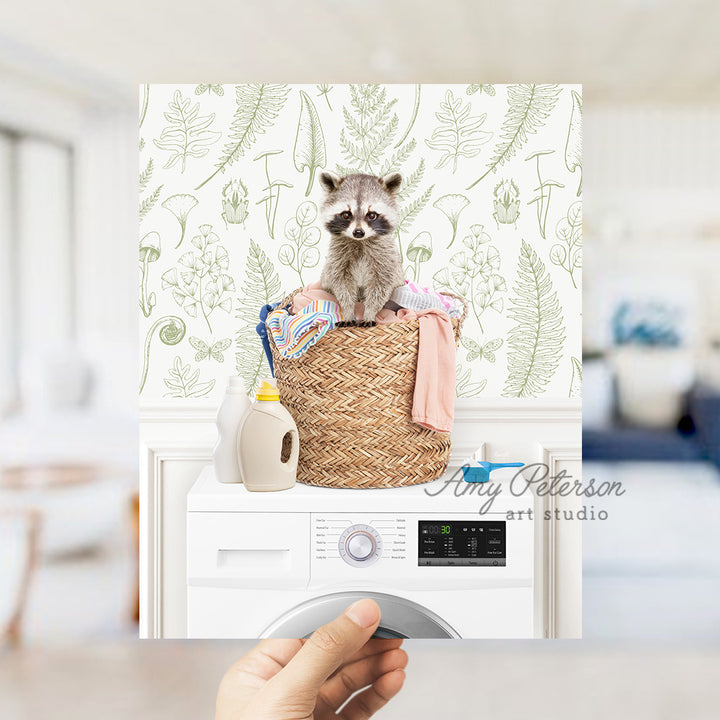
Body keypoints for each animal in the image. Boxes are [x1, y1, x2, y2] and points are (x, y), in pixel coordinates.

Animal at [320, 173, 404, 324]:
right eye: (346, 214)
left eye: (371, 215)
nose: (358, 232)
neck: (360, 242)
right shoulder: (337, 257)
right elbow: (341, 284)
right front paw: (348, 311)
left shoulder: (385, 257)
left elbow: (381, 284)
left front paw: (369, 312)